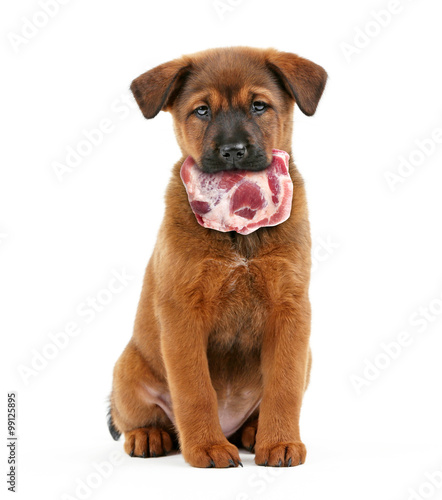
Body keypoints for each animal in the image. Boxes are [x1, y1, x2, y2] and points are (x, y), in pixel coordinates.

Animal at [109, 47, 326, 468]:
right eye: (202, 110)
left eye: (258, 105)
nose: (233, 151)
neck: (238, 232)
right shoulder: (182, 314)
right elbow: (195, 390)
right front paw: (207, 447)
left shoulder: (291, 312)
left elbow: (284, 386)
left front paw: (280, 441)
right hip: (127, 370)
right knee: (135, 416)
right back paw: (150, 435)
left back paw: (254, 432)